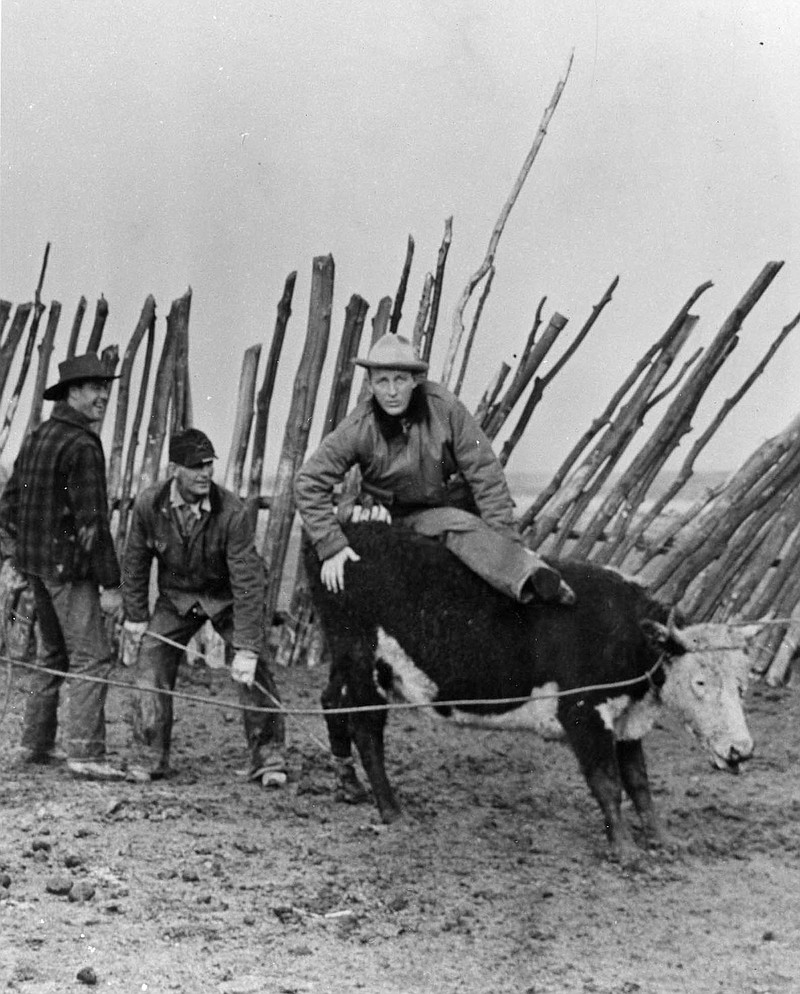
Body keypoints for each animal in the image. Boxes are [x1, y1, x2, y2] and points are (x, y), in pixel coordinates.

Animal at [302, 528, 756, 860]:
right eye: (700, 682)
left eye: (742, 682)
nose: (741, 750)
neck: (624, 631)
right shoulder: (583, 711)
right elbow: (608, 783)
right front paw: (626, 851)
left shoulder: (627, 718)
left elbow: (640, 782)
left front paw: (663, 839)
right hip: (364, 664)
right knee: (367, 731)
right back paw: (392, 811)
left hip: (345, 662)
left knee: (331, 701)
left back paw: (350, 786)